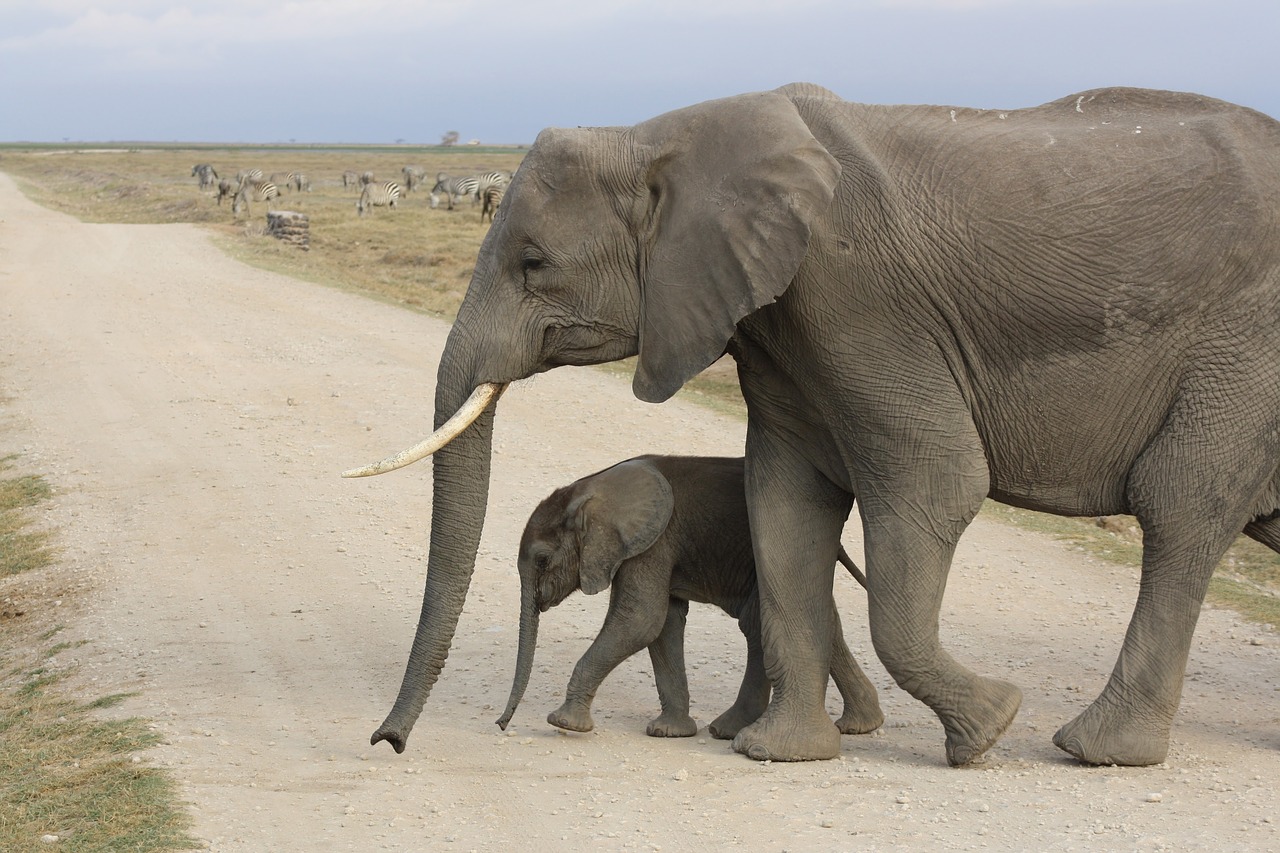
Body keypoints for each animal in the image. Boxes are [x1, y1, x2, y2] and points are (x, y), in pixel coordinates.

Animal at [494, 450, 885, 737]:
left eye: (542, 560)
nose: (501, 724)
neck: (590, 487)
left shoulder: (653, 541)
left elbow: (641, 620)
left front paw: (564, 723)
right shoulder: (651, 545)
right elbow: (663, 623)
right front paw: (669, 732)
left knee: (759, 622)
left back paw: (728, 730)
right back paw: (861, 725)